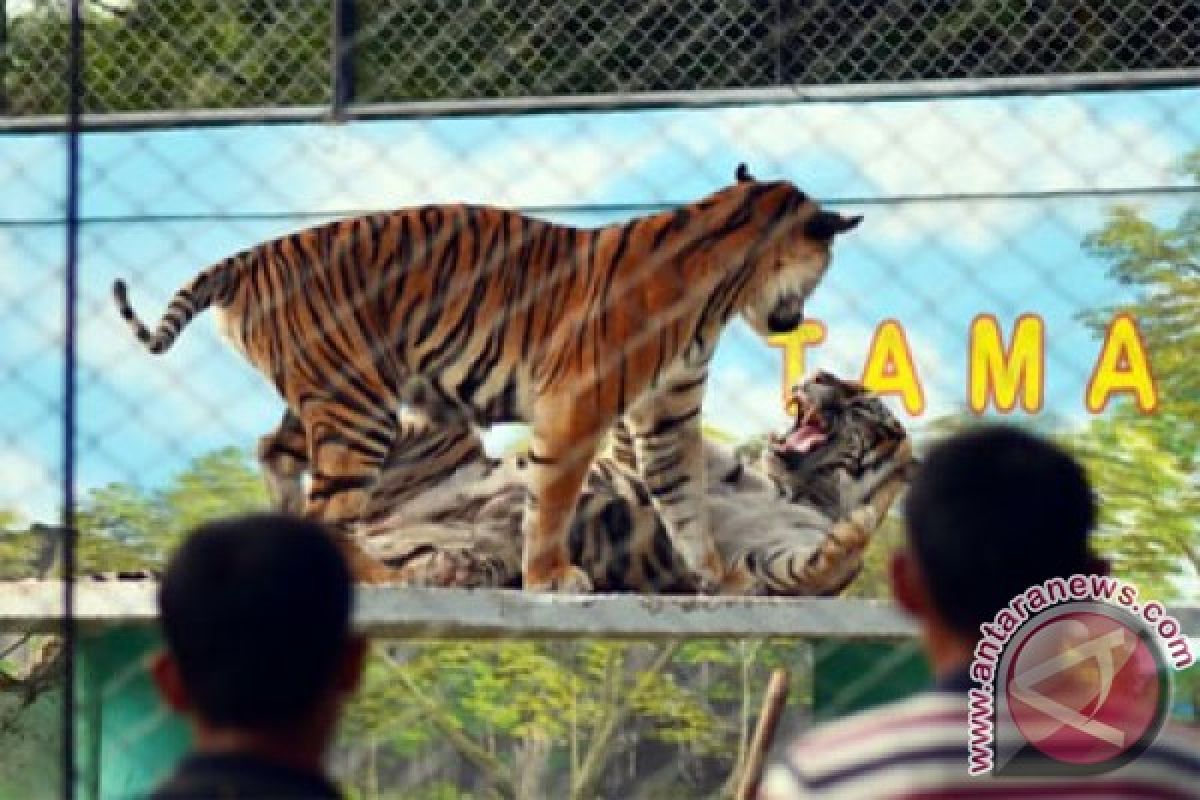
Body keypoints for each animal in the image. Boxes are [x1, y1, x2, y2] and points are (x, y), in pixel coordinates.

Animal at [112, 163, 859, 592]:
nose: (799, 322)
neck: (724, 285)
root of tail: (249, 255)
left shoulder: (667, 419)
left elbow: (686, 504)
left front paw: (722, 579)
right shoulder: (577, 405)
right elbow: (551, 499)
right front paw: (552, 578)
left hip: (331, 397)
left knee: (275, 453)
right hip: (361, 408)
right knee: (334, 514)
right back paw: (382, 576)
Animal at [350, 374, 912, 594]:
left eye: (863, 402)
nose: (817, 376)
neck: (798, 489)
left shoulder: (765, 563)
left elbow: (818, 558)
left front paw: (861, 523)